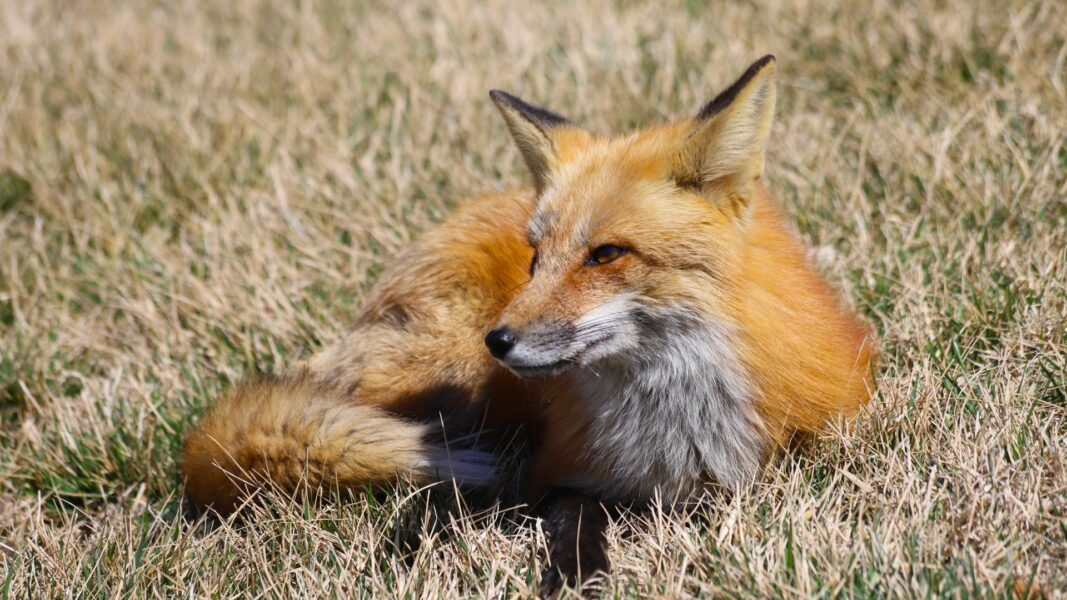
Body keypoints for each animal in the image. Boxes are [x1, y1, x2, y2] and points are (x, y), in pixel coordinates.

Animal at [181, 55, 875, 592]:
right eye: (536, 259)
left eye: (606, 254)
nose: (499, 340)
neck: (672, 428)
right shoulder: (560, 474)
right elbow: (573, 517)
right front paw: (572, 575)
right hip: (449, 376)